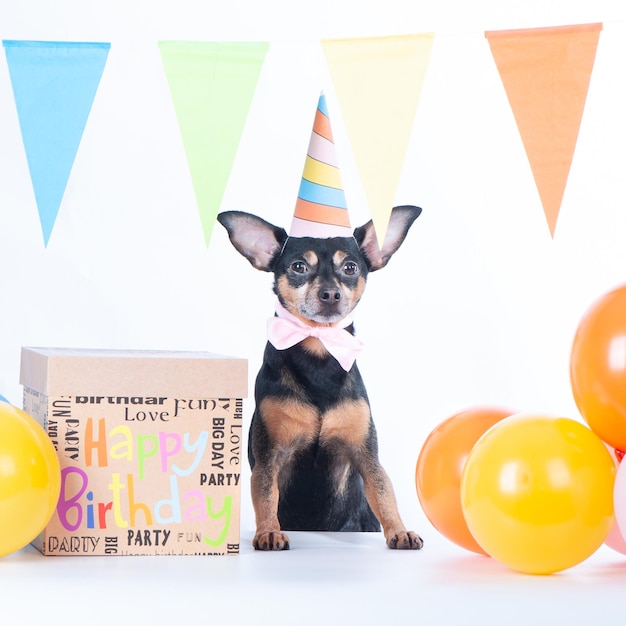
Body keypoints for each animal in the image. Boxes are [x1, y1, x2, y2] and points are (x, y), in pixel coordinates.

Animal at [217, 204, 422, 544]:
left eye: (350, 268)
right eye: (299, 266)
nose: (330, 294)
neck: (319, 351)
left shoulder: (365, 454)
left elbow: (382, 492)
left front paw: (399, 530)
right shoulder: (270, 455)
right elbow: (266, 496)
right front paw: (269, 532)